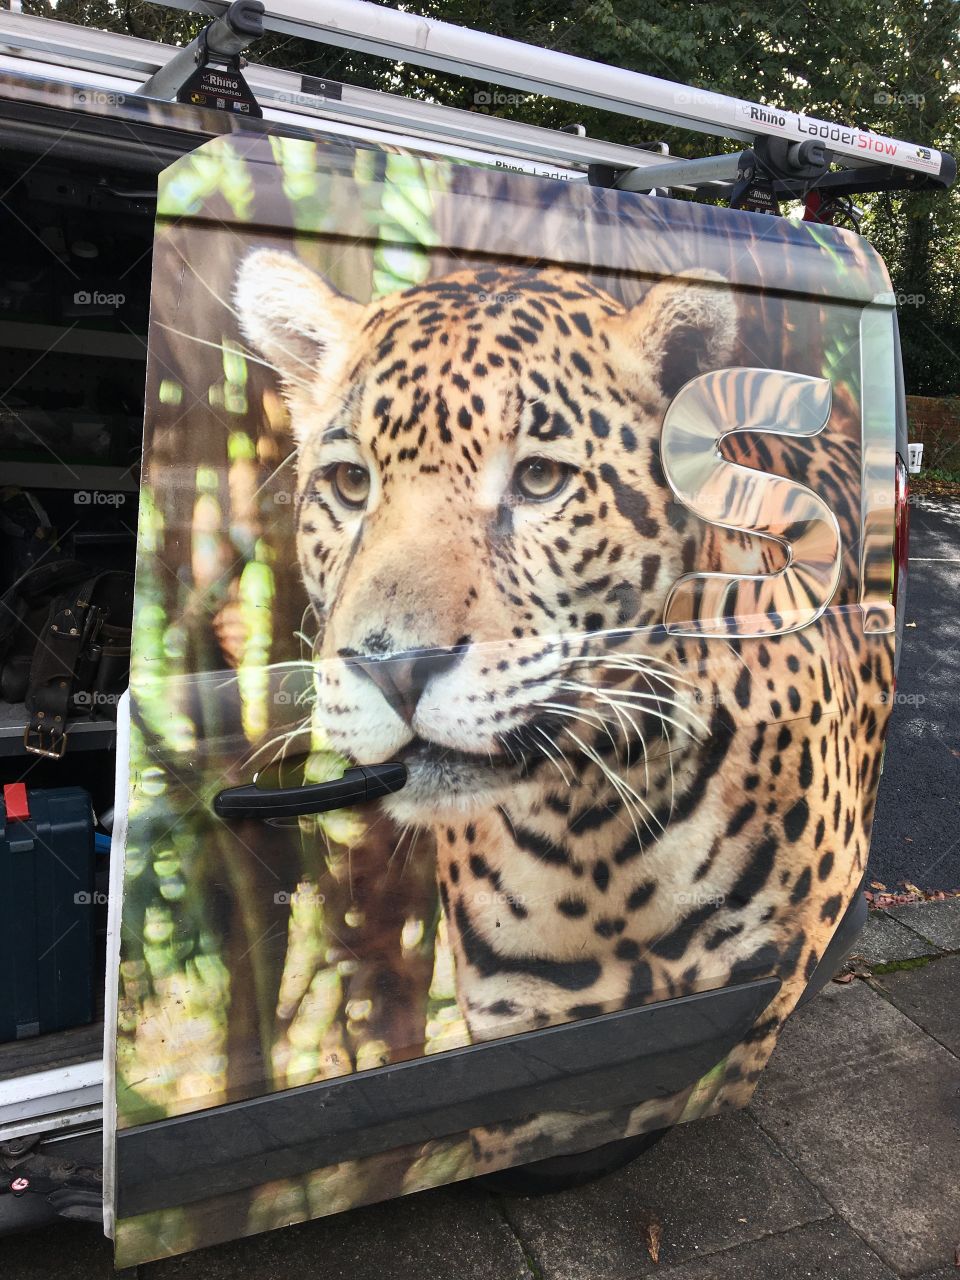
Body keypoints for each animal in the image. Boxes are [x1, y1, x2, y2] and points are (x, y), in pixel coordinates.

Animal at [236, 249, 894, 1171]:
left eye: (540, 478)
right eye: (350, 483)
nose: (395, 668)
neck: (596, 837)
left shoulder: (754, 995)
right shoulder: (520, 1035)